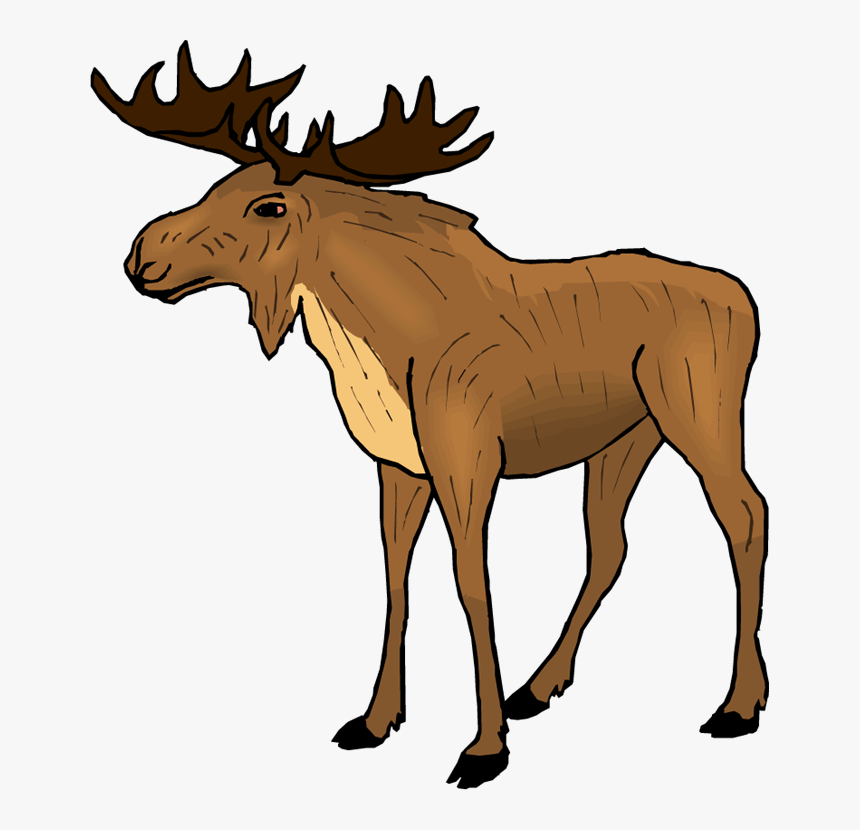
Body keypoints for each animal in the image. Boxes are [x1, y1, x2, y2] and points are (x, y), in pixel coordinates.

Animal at [92, 44, 769, 789]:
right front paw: (374, 720)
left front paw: (484, 748)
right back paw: (538, 686)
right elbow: (396, 579)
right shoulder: (397, 465)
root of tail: (747, 299)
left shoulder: (468, 460)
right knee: (609, 545)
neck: (374, 347)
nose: (143, 255)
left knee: (745, 514)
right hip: (624, 439)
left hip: (698, 413)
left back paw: (739, 704)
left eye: (269, 205)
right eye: (217, 185)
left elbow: (472, 585)